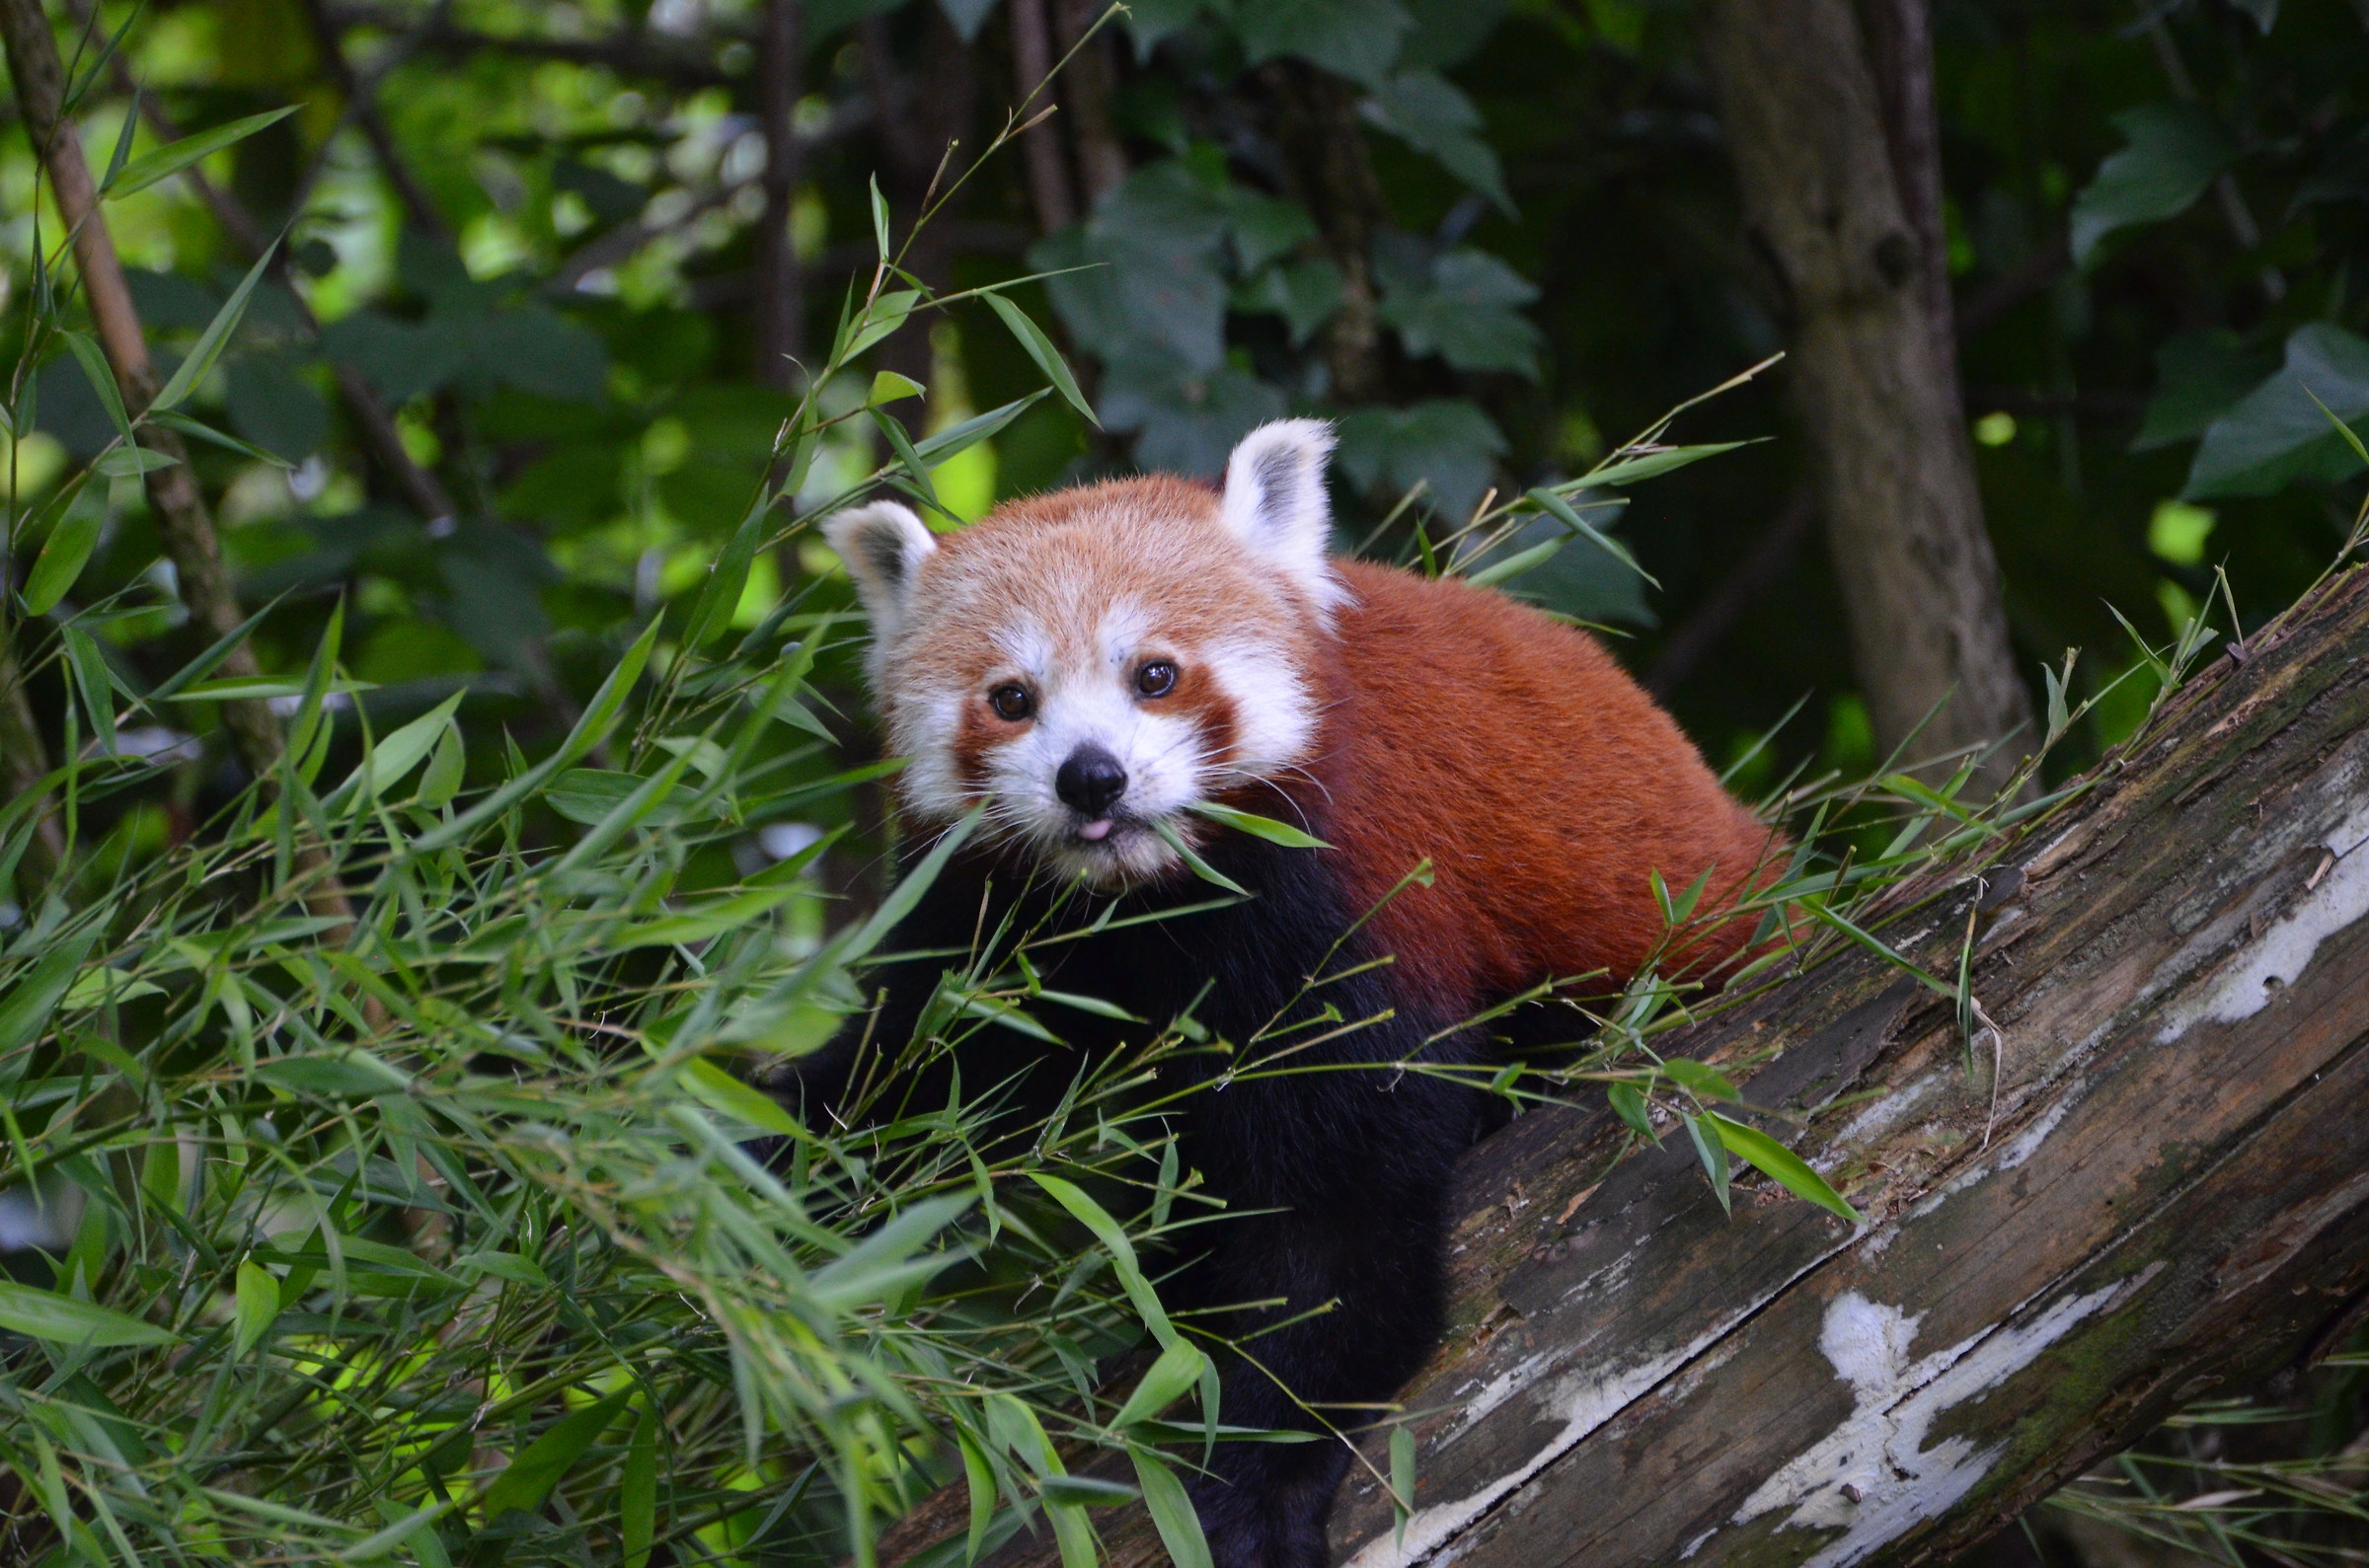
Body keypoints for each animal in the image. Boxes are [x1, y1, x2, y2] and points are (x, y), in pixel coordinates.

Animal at [799, 419, 1775, 1568]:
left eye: (1155, 674)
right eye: (1011, 698)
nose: (1092, 777)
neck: (1145, 910)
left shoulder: (1351, 894)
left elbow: (1337, 1213)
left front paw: (1260, 1473)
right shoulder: (996, 931)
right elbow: (902, 1083)